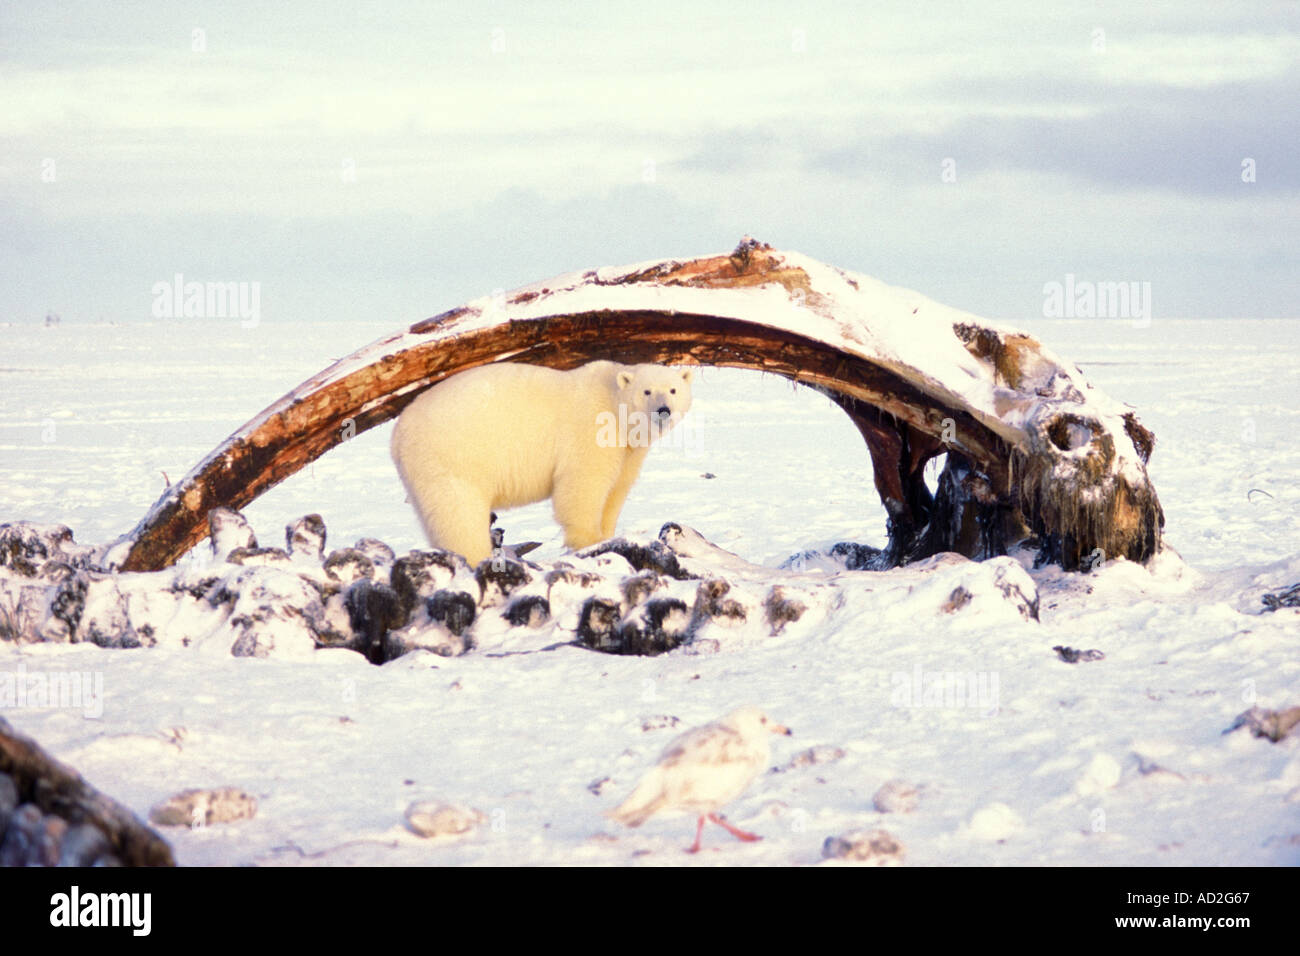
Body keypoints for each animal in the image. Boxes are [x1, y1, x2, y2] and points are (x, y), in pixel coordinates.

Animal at [390, 361, 694, 566]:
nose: (663, 410)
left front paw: (608, 534)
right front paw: (590, 540)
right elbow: (583, 485)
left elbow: (616, 489)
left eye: (673, 389)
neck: (612, 404)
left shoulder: (628, 451)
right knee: (458, 514)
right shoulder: (589, 432)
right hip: (453, 457)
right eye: (646, 391)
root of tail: (398, 433)